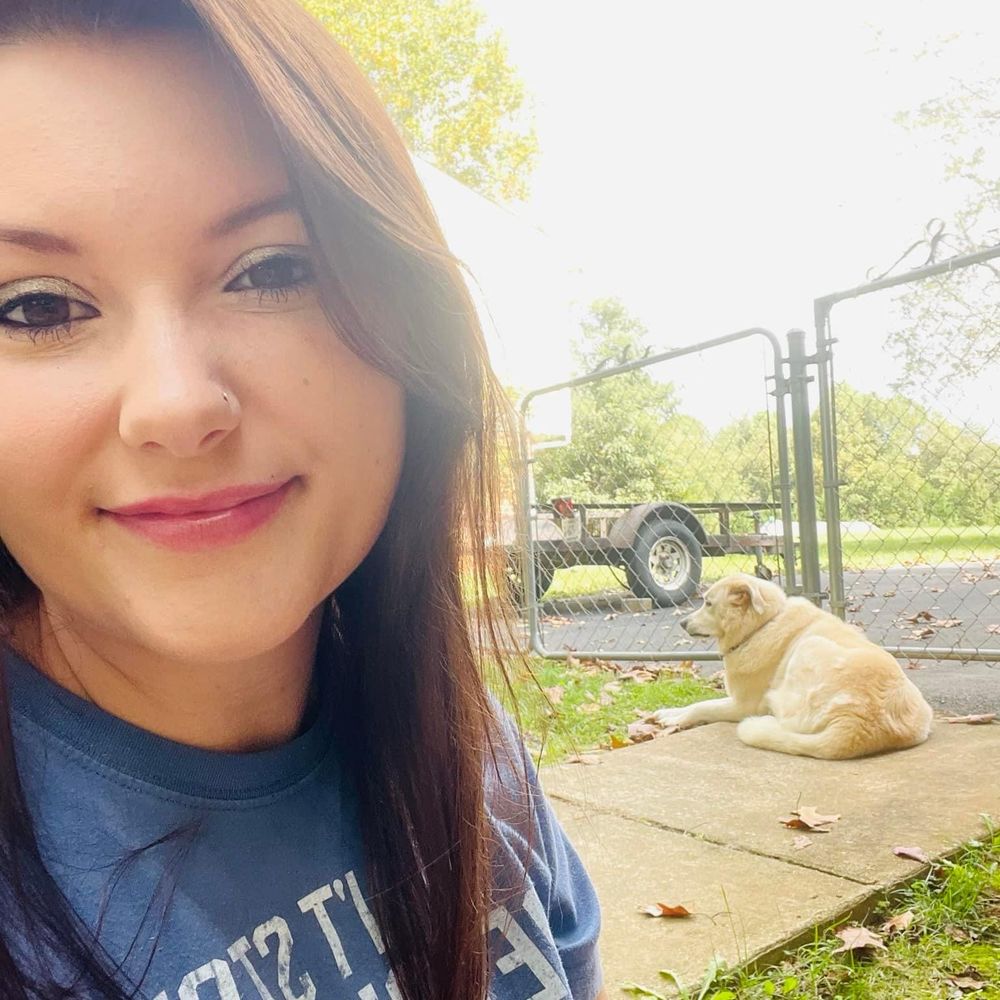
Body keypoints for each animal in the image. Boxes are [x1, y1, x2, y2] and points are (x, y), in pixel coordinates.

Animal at [654, 574, 933, 759]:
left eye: (708, 603)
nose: (682, 623)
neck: (763, 624)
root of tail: (858, 726)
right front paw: (668, 712)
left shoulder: (742, 705)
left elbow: (702, 706)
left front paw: (674, 718)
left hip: (809, 646)